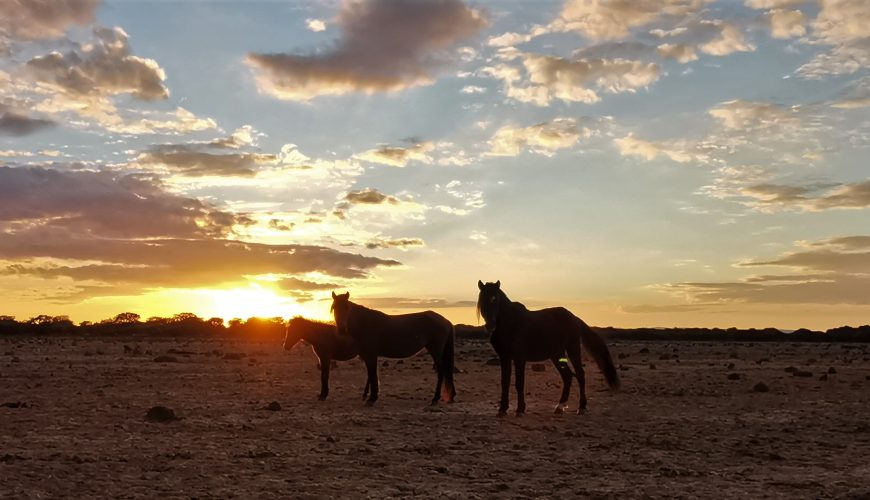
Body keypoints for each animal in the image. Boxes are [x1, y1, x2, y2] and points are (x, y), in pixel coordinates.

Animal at [330, 292, 460, 406]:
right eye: (334, 307)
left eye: (347, 308)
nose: (341, 329)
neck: (365, 323)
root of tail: (446, 321)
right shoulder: (368, 356)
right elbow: (370, 375)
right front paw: (368, 395)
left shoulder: (371, 355)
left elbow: (372, 375)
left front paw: (372, 398)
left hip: (436, 350)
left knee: (442, 371)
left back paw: (435, 398)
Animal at [476, 280, 620, 416]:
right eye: (482, 299)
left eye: (495, 299)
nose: (490, 325)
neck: (511, 324)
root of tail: (574, 317)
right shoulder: (504, 357)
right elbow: (505, 382)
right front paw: (502, 409)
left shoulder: (519, 358)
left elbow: (519, 382)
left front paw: (520, 410)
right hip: (557, 355)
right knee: (567, 376)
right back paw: (560, 406)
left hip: (572, 350)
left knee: (580, 374)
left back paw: (582, 407)